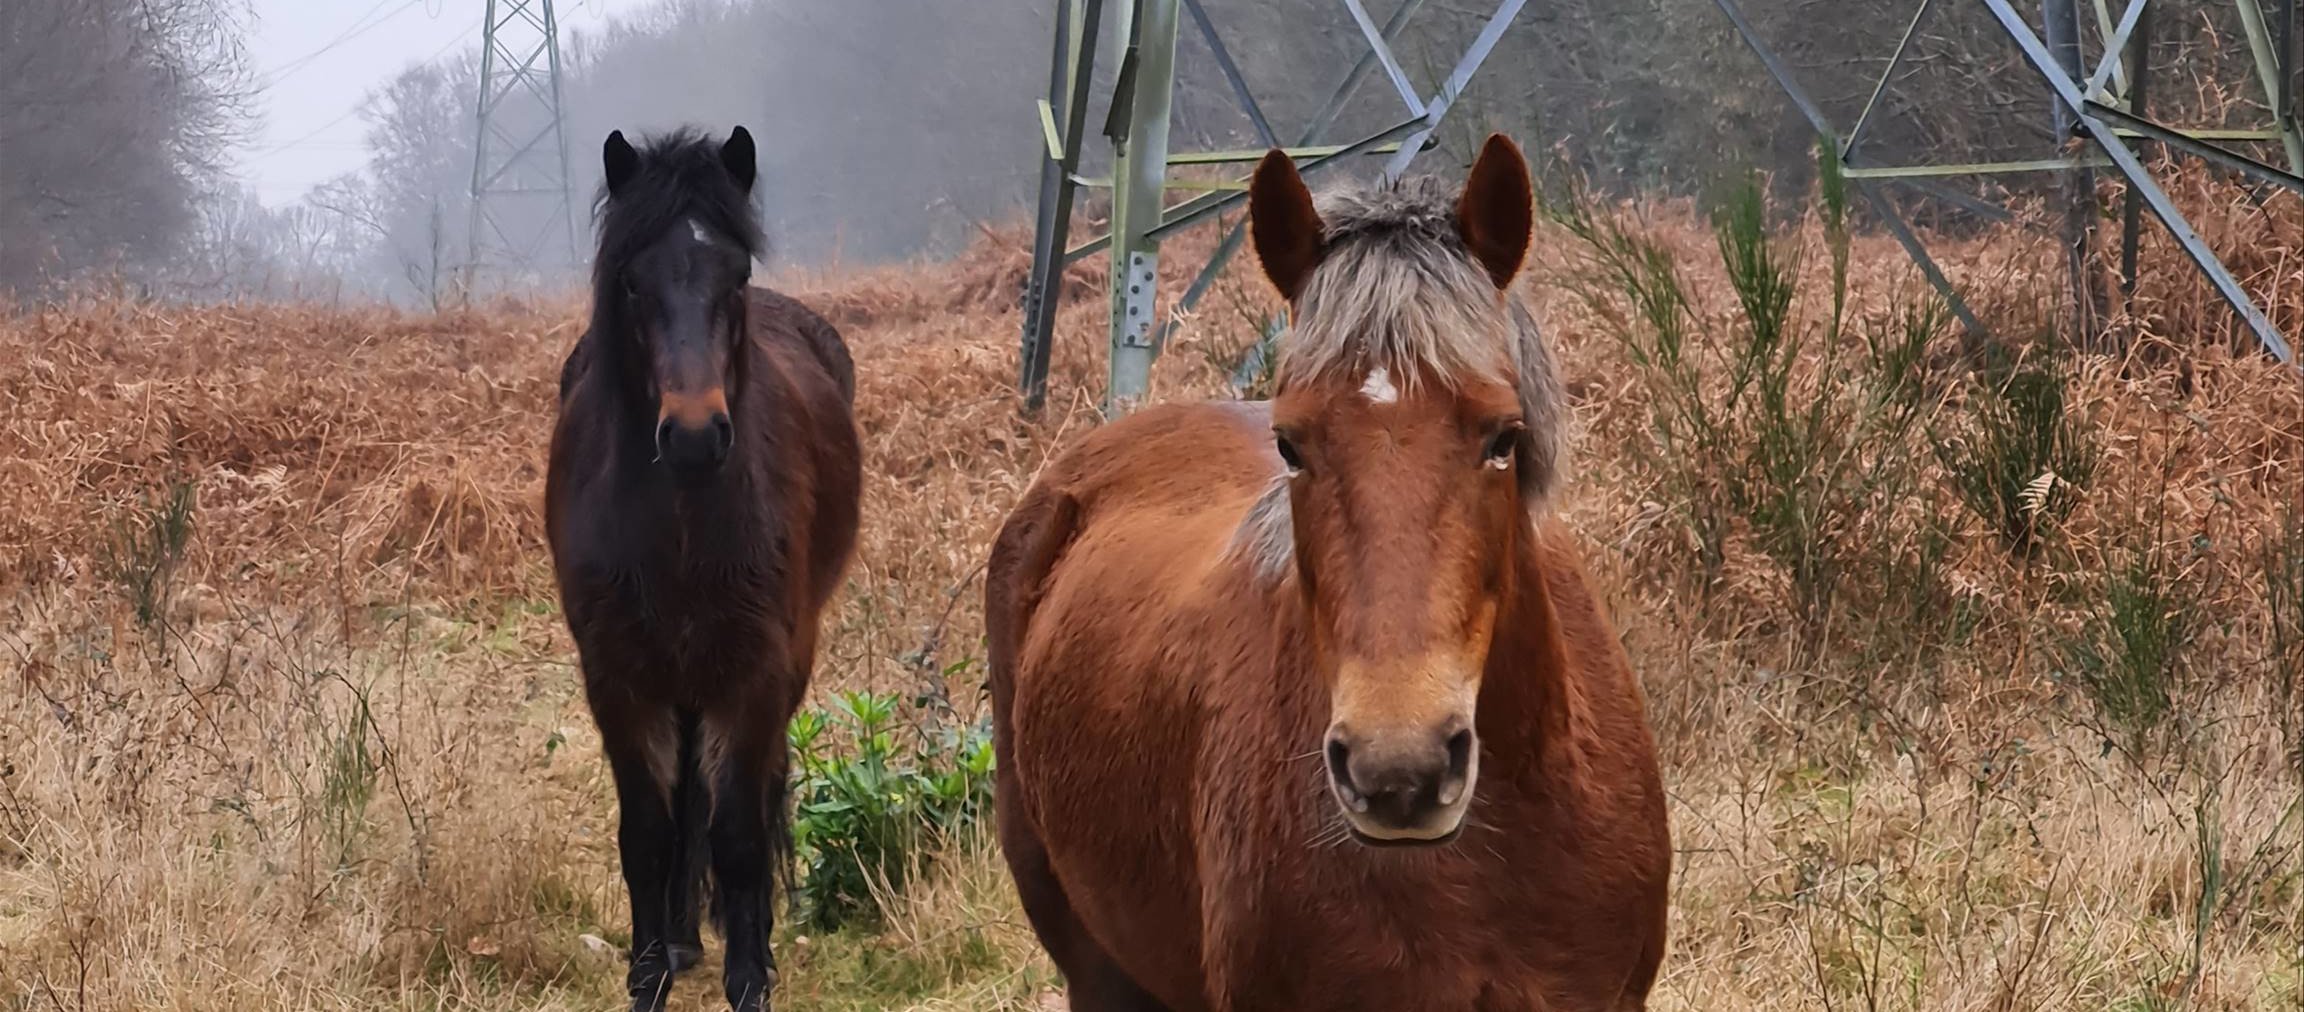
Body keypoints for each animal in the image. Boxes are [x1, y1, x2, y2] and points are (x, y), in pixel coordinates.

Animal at [545, 125, 861, 1012]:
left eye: (736, 274)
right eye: (632, 279)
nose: (692, 435)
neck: (681, 523)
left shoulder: (755, 671)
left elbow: (739, 832)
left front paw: (749, 978)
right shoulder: (618, 677)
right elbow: (648, 831)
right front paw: (649, 972)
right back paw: (684, 939)